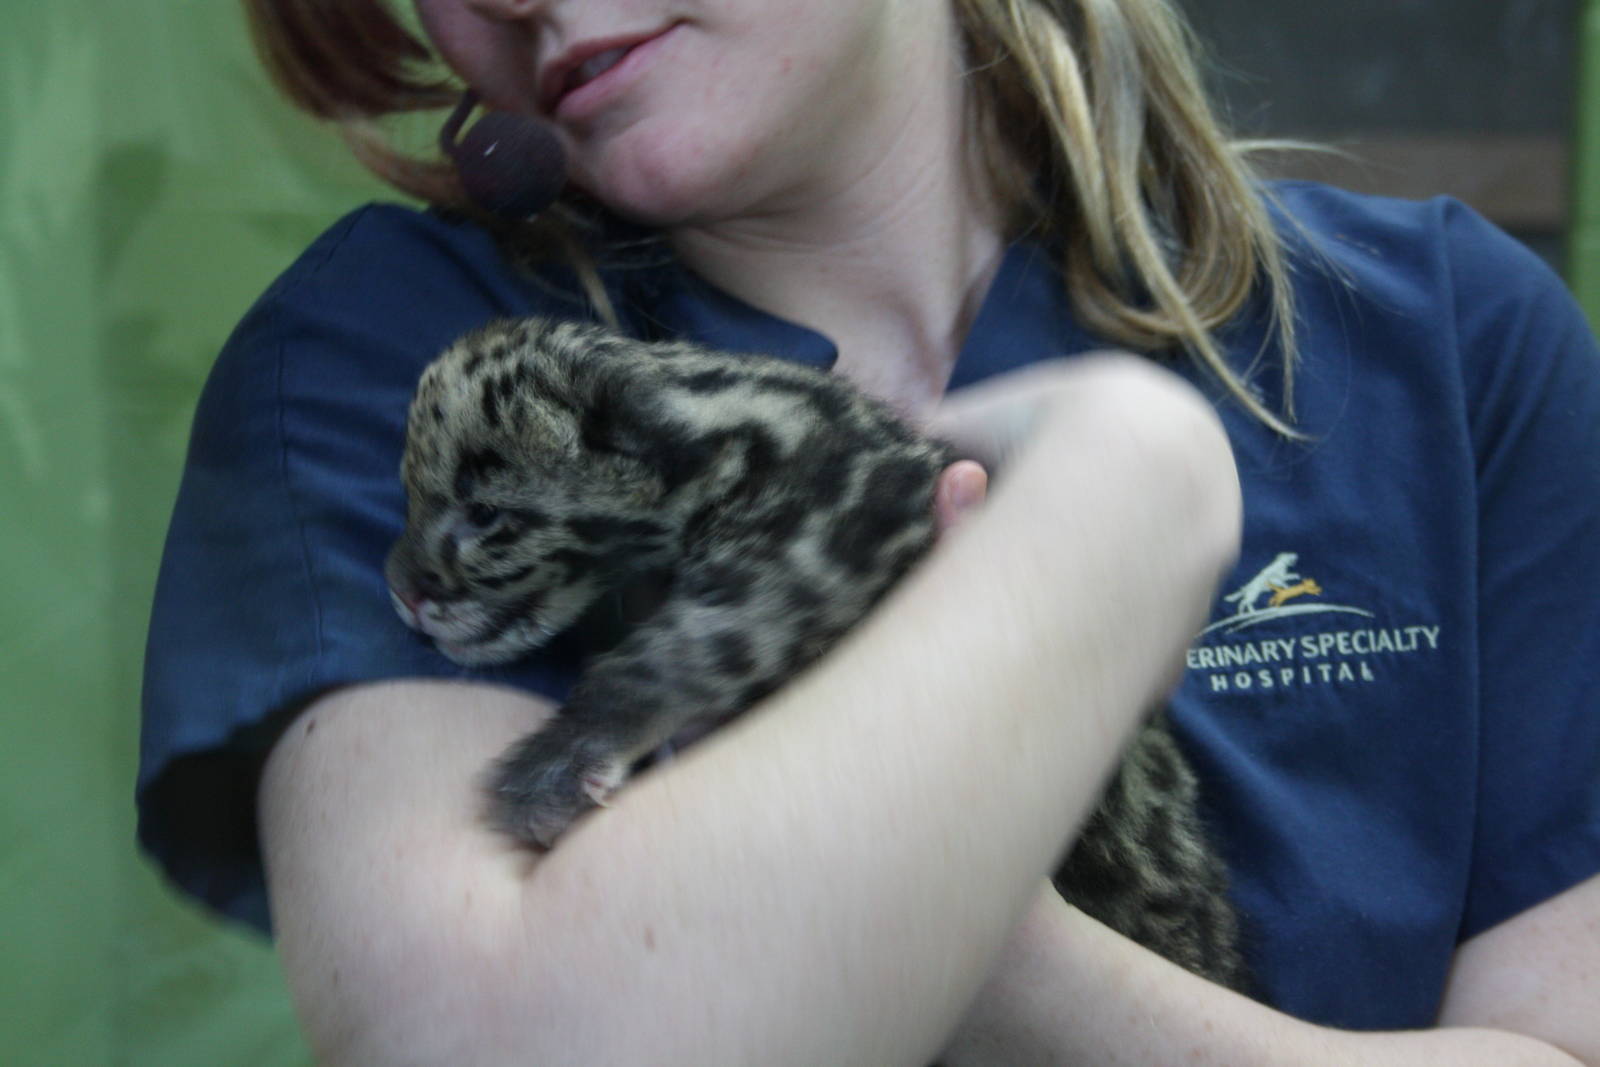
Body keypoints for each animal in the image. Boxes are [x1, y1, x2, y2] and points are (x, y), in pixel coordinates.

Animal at [385, 315, 1250, 990]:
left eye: (485, 513)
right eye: (410, 494)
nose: (401, 590)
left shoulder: (836, 525)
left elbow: (708, 638)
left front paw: (565, 753)